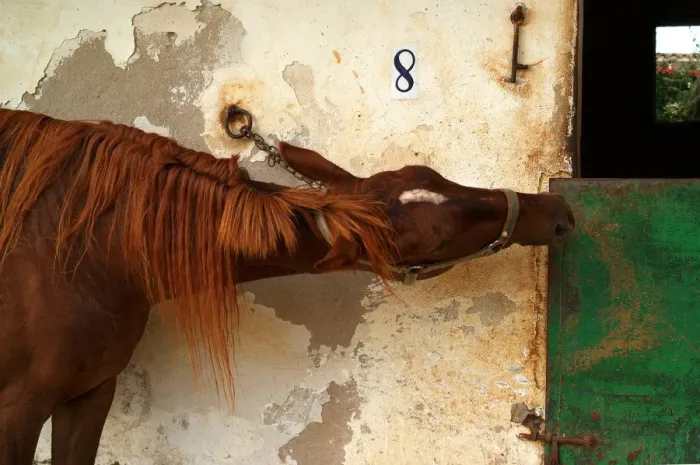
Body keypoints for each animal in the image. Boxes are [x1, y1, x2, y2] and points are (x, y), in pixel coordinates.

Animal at [0, 107, 574, 464]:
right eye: (435, 246)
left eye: (433, 174)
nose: (557, 212)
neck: (84, 248)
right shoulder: (18, 406)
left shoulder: (89, 393)